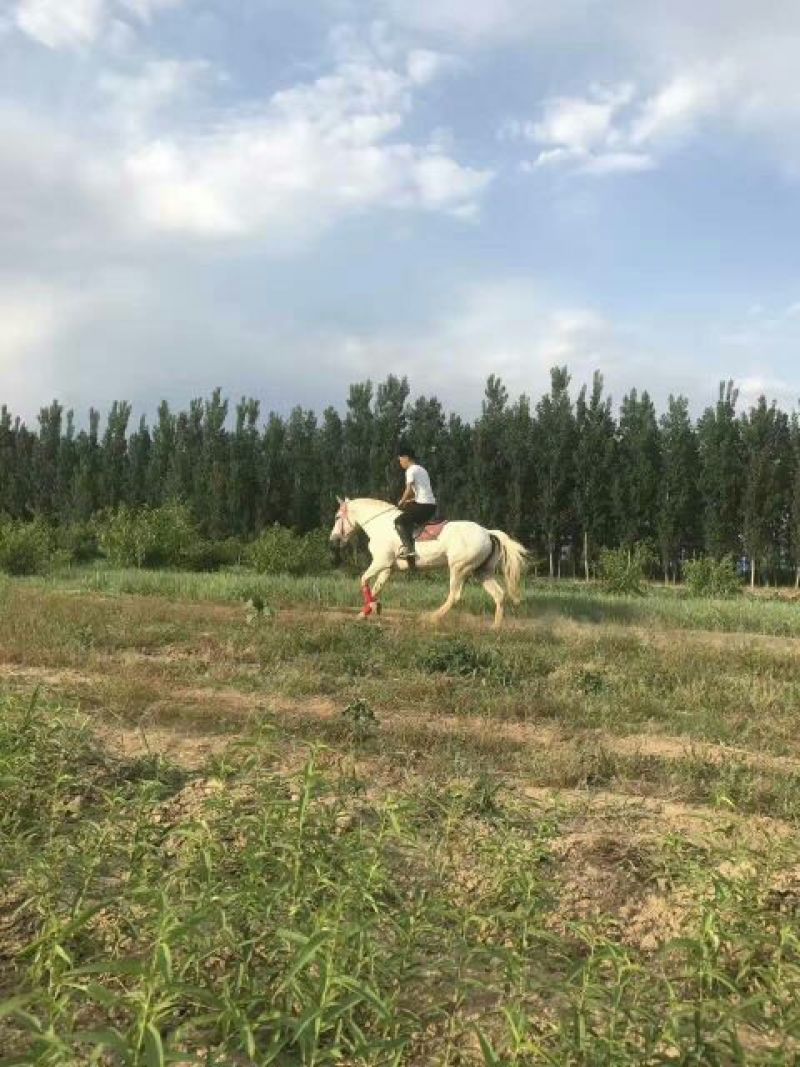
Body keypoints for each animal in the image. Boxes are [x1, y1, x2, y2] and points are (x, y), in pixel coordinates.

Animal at [329, 497, 527, 628]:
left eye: (337, 517)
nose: (334, 539)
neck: (381, 525)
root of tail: (487, 532)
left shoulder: (380, 562)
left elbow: (363, 580)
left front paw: (373, 607)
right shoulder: (388, 568)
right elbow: (376, 588)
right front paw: (365, 612)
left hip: (459, 568)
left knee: (455, 595)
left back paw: (432, 618)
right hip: (481, 572)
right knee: (499, 595)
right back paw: (495, 628)